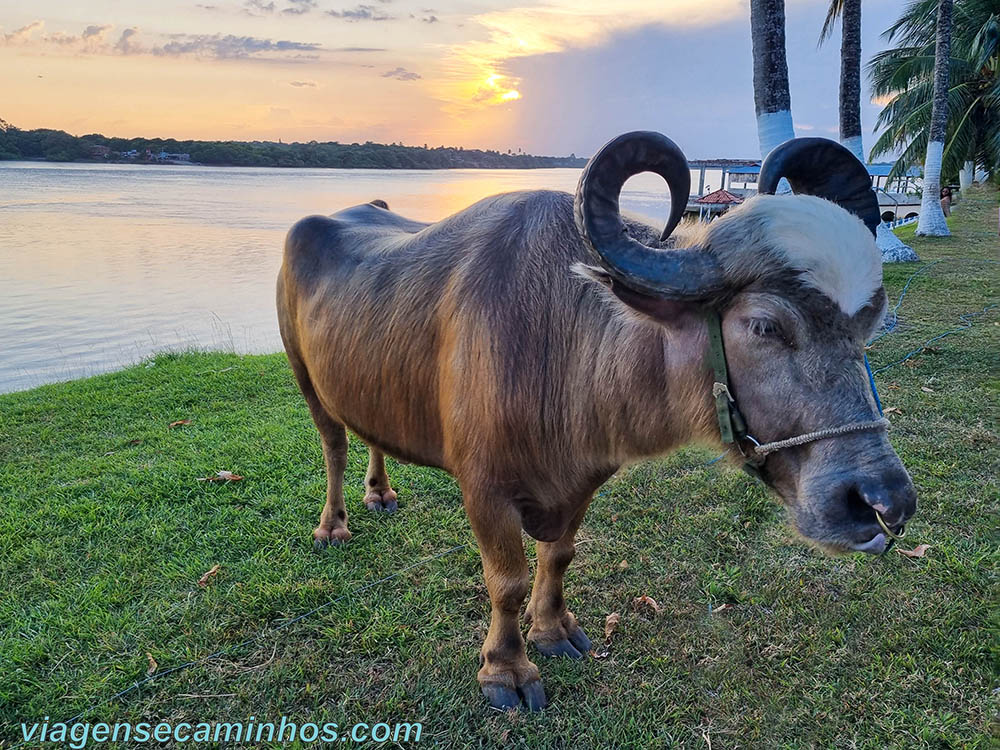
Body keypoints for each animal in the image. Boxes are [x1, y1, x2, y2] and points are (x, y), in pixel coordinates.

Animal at [274, 132, 916, 712]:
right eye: (763, 326)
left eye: (868, 323)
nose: (884, 503)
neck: (561, 337)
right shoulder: (484, 488)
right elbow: (506, 581)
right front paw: (506, 672)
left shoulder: (583, 479)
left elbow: (559, 556)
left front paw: (554, 631)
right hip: (304, 375)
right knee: (333, 444)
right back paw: (333, 524)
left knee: (368, 434)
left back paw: (380, 493)